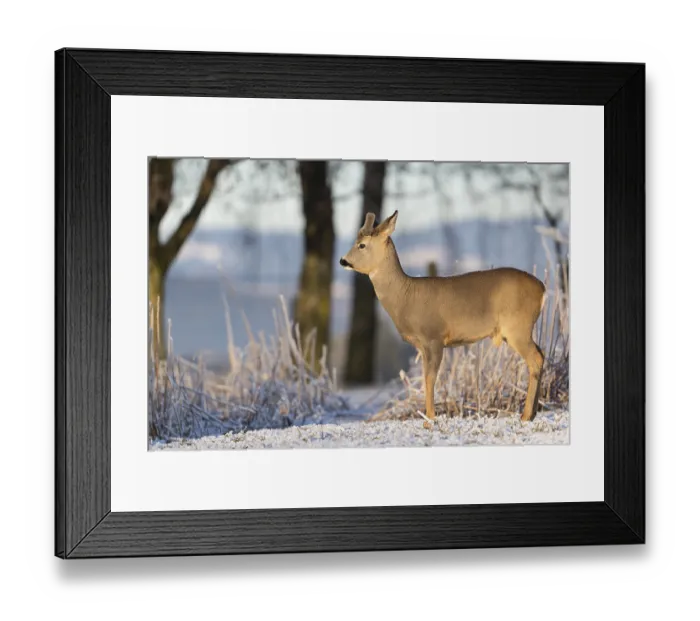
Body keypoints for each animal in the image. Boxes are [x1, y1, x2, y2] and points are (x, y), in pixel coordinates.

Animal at [340, 210, 546, 429]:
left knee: (535, 358)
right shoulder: (422, 345)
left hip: (518, 326)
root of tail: (542, 288)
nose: (343, 261)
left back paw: (525, 416)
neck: (405, 297)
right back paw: (532, 413)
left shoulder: (433, 337)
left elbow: (431, 378)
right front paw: (428, 417)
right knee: (541, 354)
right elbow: (425, 377)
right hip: (520, 329)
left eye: (362, 244)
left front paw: (430, 419)